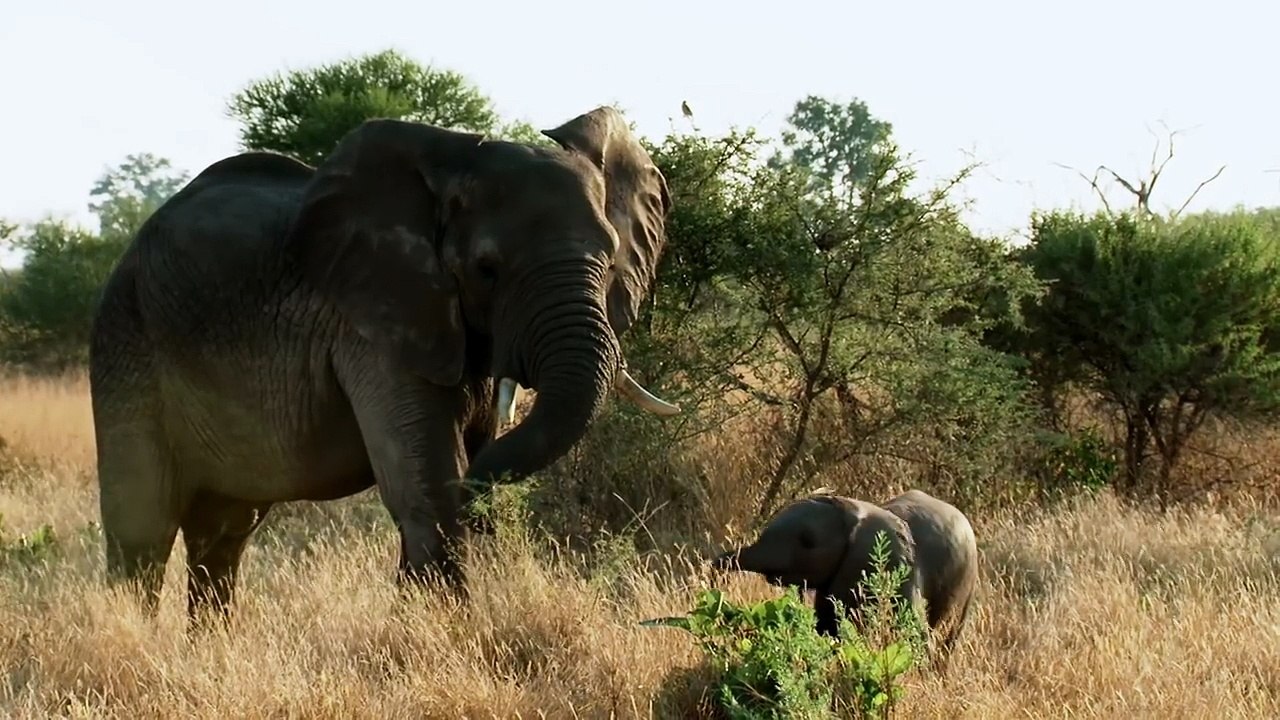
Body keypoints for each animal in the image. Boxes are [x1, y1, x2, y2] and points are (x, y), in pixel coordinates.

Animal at [87, 105, 682, 623]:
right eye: (486, 268)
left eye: (610, 260)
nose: (485, 504)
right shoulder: (372, 324)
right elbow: (424, 486)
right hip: (125, 339)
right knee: (143, 527)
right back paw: (135, 642)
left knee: (223, 531)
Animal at [712, 489, 978, 663]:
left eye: (807, 541)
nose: (717, 587)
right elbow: (828, 627)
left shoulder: (899, 572)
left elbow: (915, 635)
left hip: (966, 585)